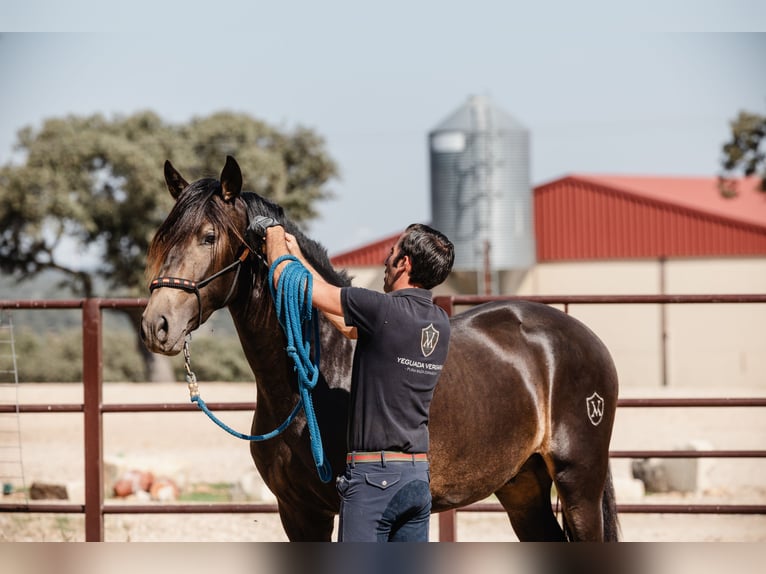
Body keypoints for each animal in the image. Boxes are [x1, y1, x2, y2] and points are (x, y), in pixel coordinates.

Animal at [141, 155, 620, 544]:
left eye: (208, 236)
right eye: (164, 237)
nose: (156, 325)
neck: (313, 376)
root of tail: (585, 337)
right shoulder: (298, 513)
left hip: (579, 484)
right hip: (522, 486)